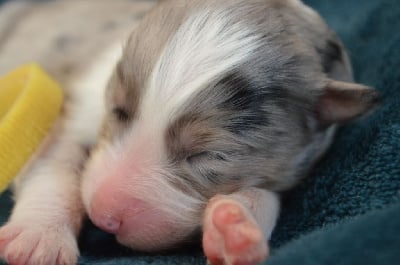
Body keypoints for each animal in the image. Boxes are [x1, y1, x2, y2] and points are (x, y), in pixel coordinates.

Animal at [0, 0, 382, 264]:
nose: (104, 218)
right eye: (119, 110)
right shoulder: (78, 104)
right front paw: (39, 238)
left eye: (208, 155)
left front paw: (234, 228)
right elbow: (55, 162)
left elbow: (266, 194)